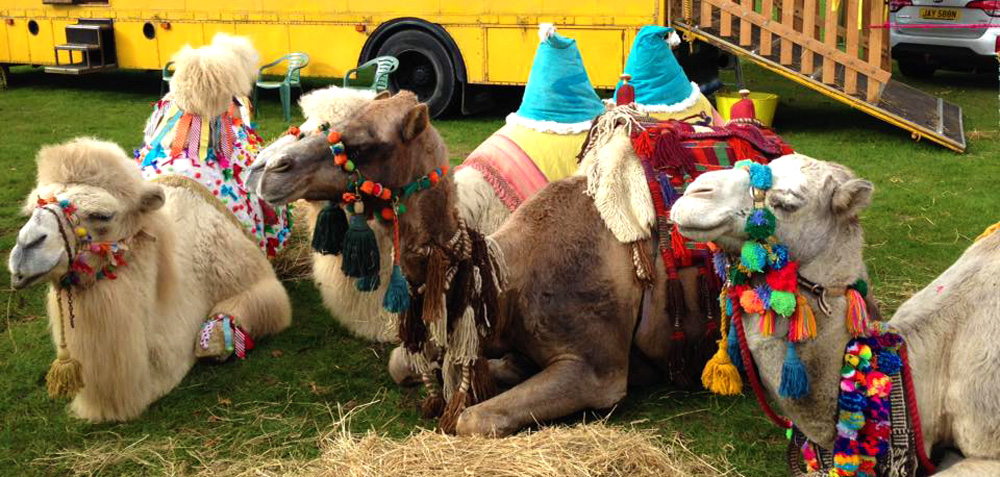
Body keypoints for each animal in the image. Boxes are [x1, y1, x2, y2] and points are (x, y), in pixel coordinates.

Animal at [250, 91, 736, 436]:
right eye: (340, 122)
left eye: (365, 142)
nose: (271, 169)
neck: (506, 279)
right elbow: (404, 364)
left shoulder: (598, 370)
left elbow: (472, 419)